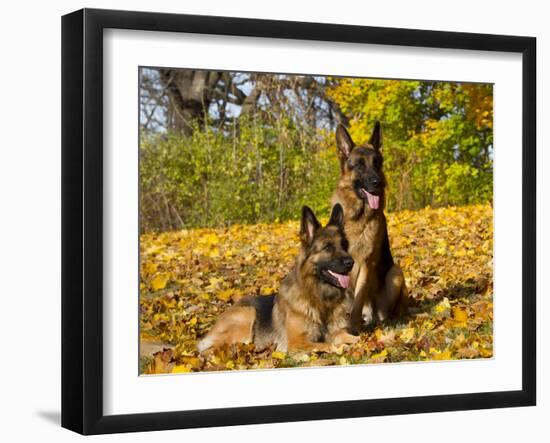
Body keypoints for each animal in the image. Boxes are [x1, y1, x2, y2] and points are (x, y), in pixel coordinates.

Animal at [196, 205, 360, 354]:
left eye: (344, 245)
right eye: (327, 247)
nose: (351, 262)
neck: (320, 297)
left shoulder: (338, 332)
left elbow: (354, 337)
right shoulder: (297, 343)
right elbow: (328, 344)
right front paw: (342, 347)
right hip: (247, 316)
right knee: (213, 349)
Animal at [332, 123, 410, 334]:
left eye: (377, 163)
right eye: (359, 165)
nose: (378, 182)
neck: (355, 217)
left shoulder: (365, 264)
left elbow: (358, 299)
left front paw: (352, 329)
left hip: (395, 273)